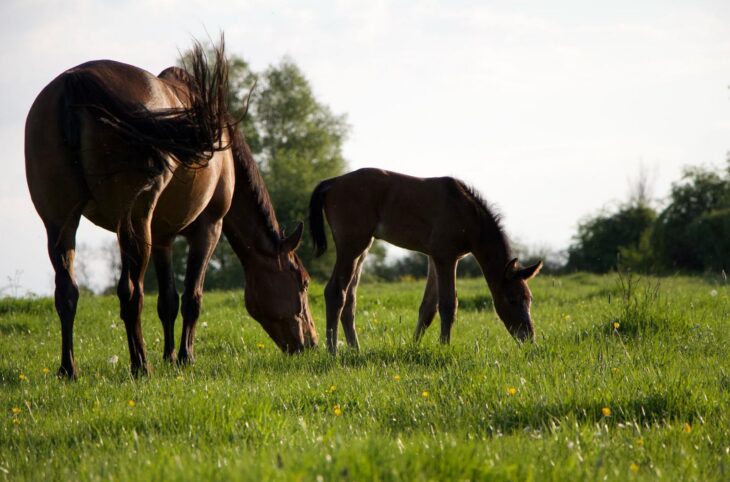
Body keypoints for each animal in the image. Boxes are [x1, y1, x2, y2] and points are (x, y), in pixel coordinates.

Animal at [25, 39, 317, 379]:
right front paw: (186, 357)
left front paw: (170, 356)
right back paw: (140, 365)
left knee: (67, 293)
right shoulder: (208, 228)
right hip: (133, 223)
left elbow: (168, 301)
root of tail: (75, 81)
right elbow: (192, 296)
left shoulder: (162, 237)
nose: (311, 342)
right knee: (130, 292)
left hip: (59, 223)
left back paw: (68, 369)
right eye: (303, 282)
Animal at [309, 168, 542, 354]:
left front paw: (414, 346)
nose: (528, 338)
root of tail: (333, 182)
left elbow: (428, 308)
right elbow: (448, 304)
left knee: (350, 298)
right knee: (335, 292)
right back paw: (332, 351)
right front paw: (444, 347)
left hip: (362, 250)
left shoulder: (434, 258)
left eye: (529, 298)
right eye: (511, 299)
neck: (467, 213)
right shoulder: (445, 257)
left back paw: (355, 350)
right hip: (352, 247)